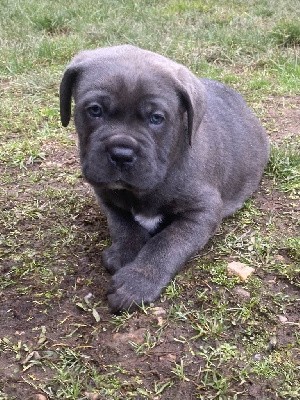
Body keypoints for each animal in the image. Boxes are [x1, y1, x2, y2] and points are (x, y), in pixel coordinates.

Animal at [59, 44, 270, 312]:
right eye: (94, 110)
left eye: (156, 118)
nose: (121, 154)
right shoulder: (106, 195)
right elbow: (122, 223)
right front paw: (126, 251)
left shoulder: (202, 212)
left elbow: (166, 243)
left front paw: (137, 281)